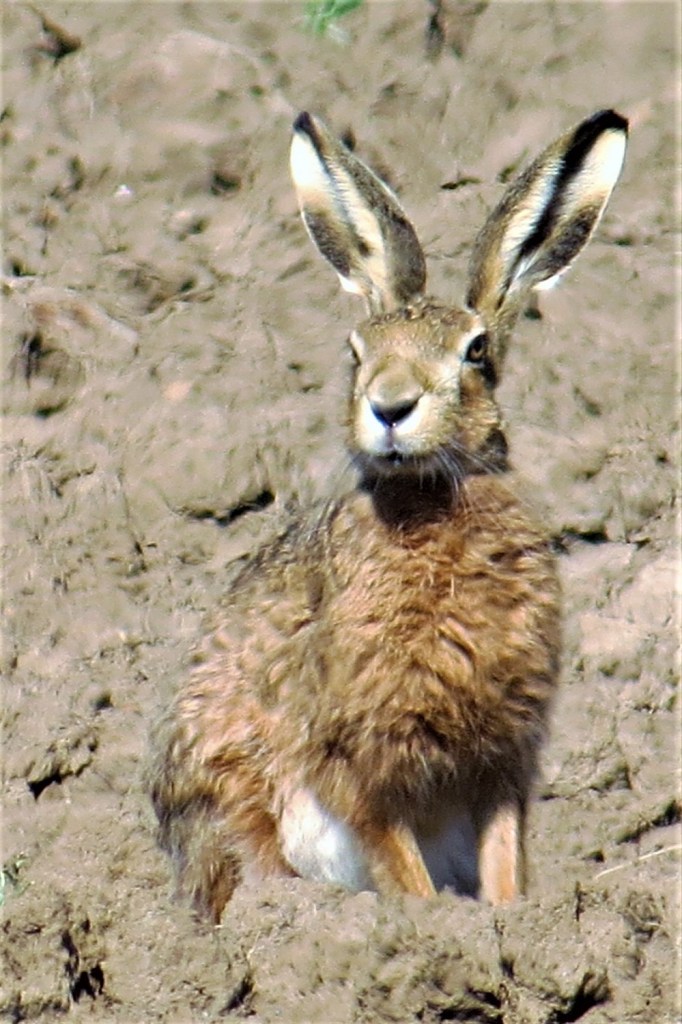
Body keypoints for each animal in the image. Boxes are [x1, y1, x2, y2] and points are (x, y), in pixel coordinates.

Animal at [148, 108, 628, 922]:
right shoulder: (356, 760)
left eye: (476, 352)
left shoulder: (501, 758)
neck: (431, 506)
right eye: (355, 351)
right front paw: (433, 929)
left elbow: (503, 859)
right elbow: (400, 867)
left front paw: (506, 925)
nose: (390, 405)